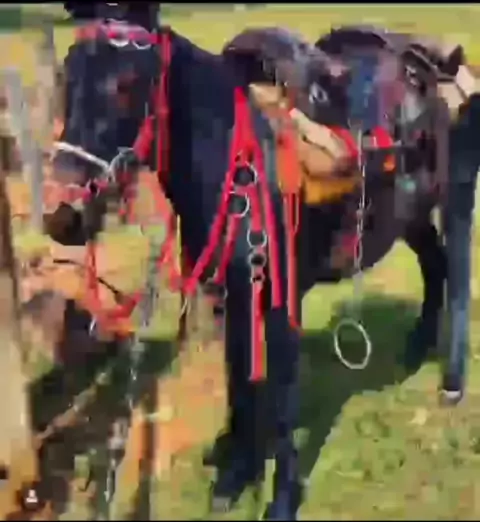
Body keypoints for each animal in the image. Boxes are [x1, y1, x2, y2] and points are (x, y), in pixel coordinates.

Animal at [45, 20, 479, 519]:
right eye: (67, 79)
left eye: (127, 84)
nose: (63, 215)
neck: (239, 170)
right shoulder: (229, 294)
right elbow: (240, 380)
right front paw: (236, 468)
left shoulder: (281, 301)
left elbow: (282, 399)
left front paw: (281, 497)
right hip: (409, 217)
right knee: (434, 264)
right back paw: (417, 346)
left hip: (457, 197)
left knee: (458, 277)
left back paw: (451, 384)